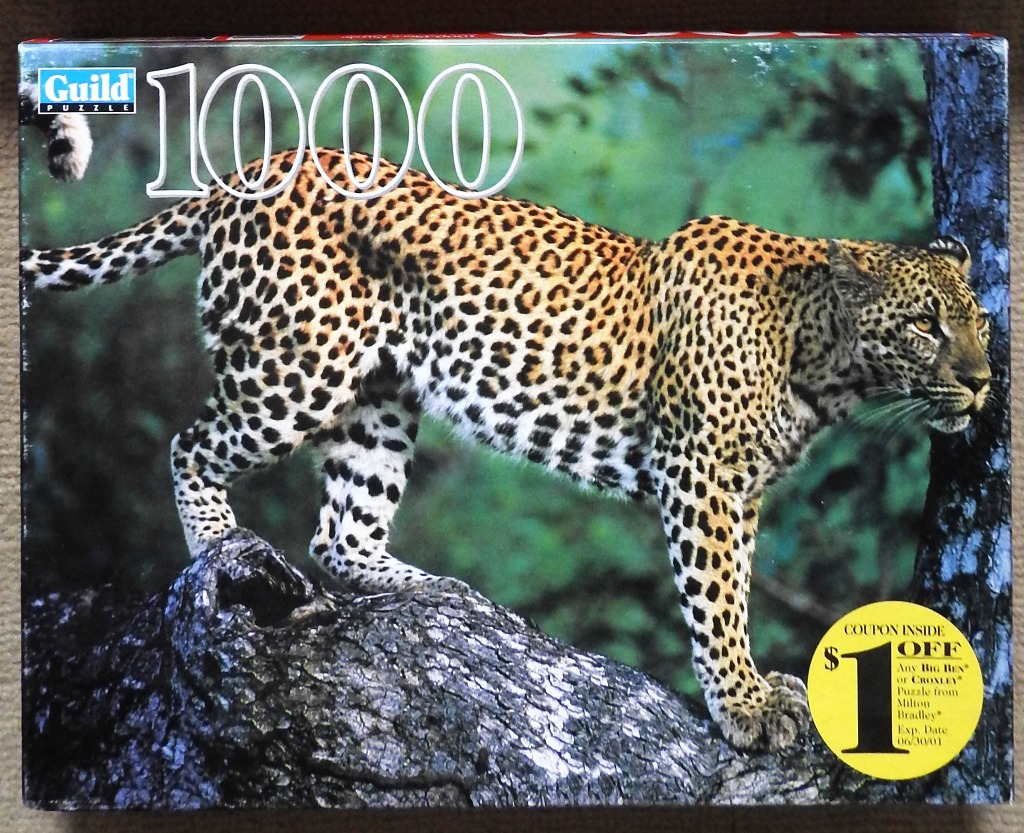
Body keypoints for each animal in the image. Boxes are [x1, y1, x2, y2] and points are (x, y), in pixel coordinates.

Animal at [21, 147, 992, 752]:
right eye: (923, 325)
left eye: (979, 321)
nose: (985, 381)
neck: (822, 356)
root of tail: (246, 172)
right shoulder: (704, 475)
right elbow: (718, 597)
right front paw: (745, 705)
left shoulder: (740, 487)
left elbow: (734, 588)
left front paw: (756, 689)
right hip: (296, 371)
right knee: (192, 443)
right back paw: (221, 546)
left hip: (378, 402)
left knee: (342, 531)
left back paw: (437, 589)